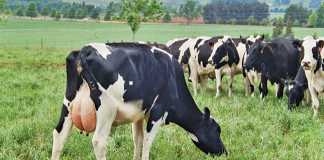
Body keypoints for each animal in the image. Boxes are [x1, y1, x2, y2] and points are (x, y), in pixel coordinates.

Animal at [51, 42, 228, 160]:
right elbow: (147, 143)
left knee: (59, 135)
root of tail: (85, 50)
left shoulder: (139, 115)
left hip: (68, 104)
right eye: (217, 130)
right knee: (99, 142)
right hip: (106, 109)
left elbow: (138, 141)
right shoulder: (157, 113)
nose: (225, 152)